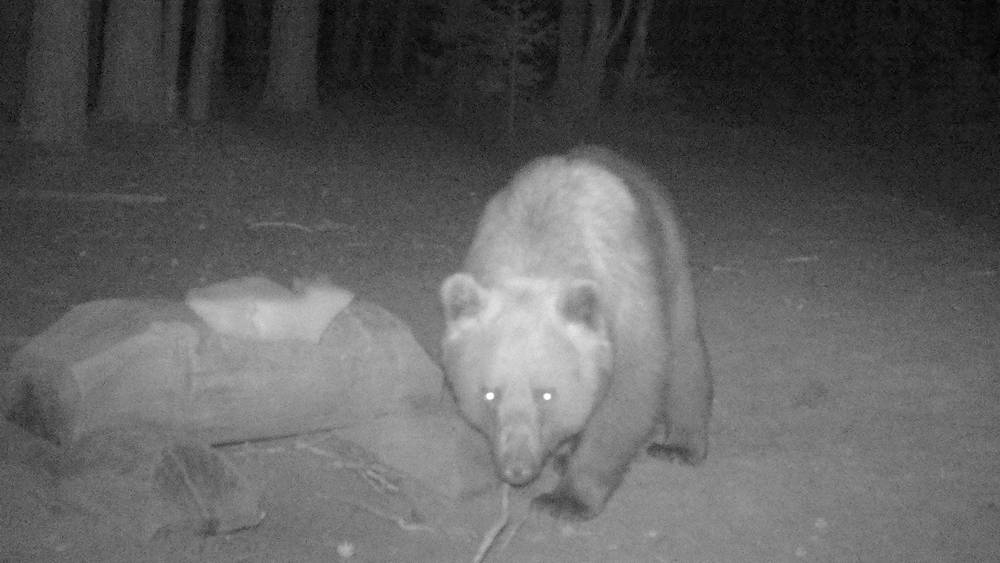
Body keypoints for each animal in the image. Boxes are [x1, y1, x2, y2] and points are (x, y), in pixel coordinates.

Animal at [440, 147, 712, 524]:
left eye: (546, 394)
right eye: (489, 394)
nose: (517, 469)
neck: (536, 249)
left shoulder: (624, 299)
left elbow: (629, 393)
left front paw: (565, 499)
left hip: (668, 255)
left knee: (683, 347)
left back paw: (680, 444)